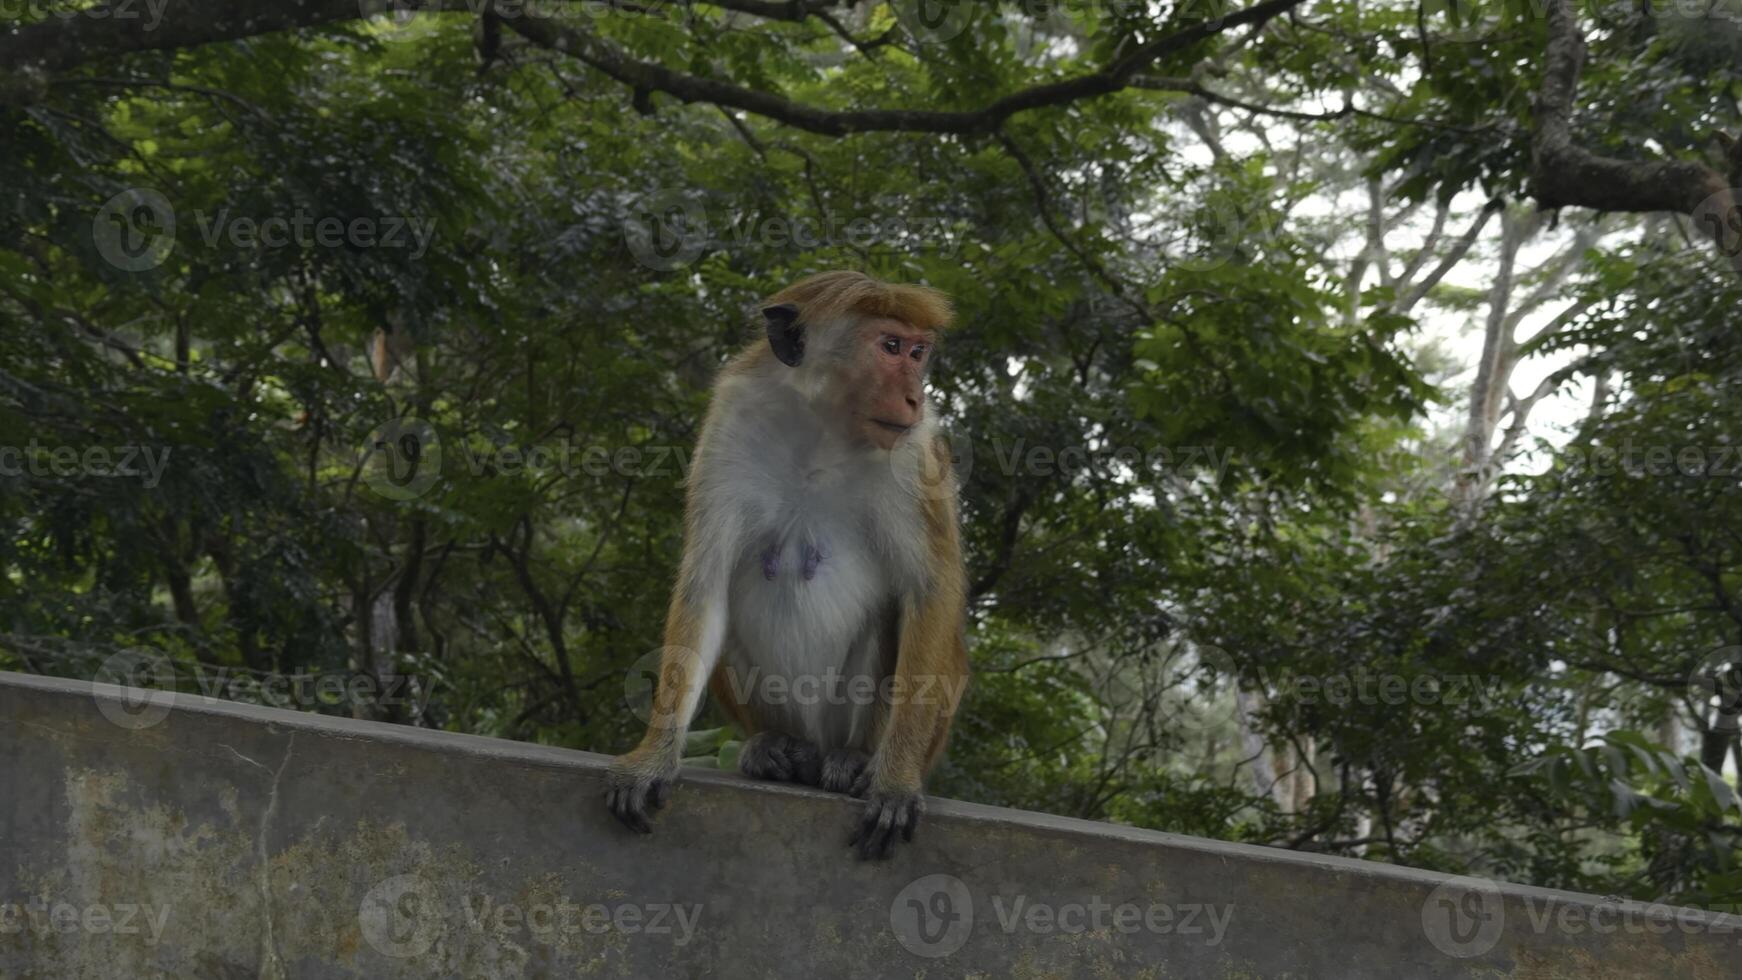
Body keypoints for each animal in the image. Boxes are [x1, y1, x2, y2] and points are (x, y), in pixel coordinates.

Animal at [609, 268, 968, 859]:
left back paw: (854, 760)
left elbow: (929, 591)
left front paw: (895, 781)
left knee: (890, 621)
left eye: (919, 352)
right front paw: (653, 756)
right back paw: (774, 748)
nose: (916, 397)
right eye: (891, 347)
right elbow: (706, 583)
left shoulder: (916, 455)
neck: (822, 426)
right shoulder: (729, 424)